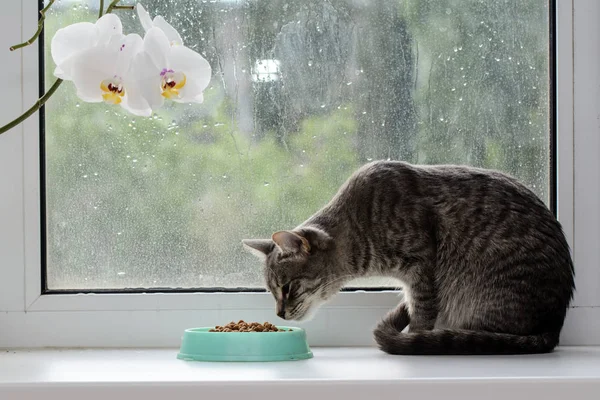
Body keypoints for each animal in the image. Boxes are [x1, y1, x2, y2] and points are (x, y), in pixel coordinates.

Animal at [241, 161, 576, 354]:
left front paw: (415, 336)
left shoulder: (421, 267)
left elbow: (422, 315)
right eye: (271, 291)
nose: (279, 314)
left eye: (288, 288)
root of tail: (554, 325)